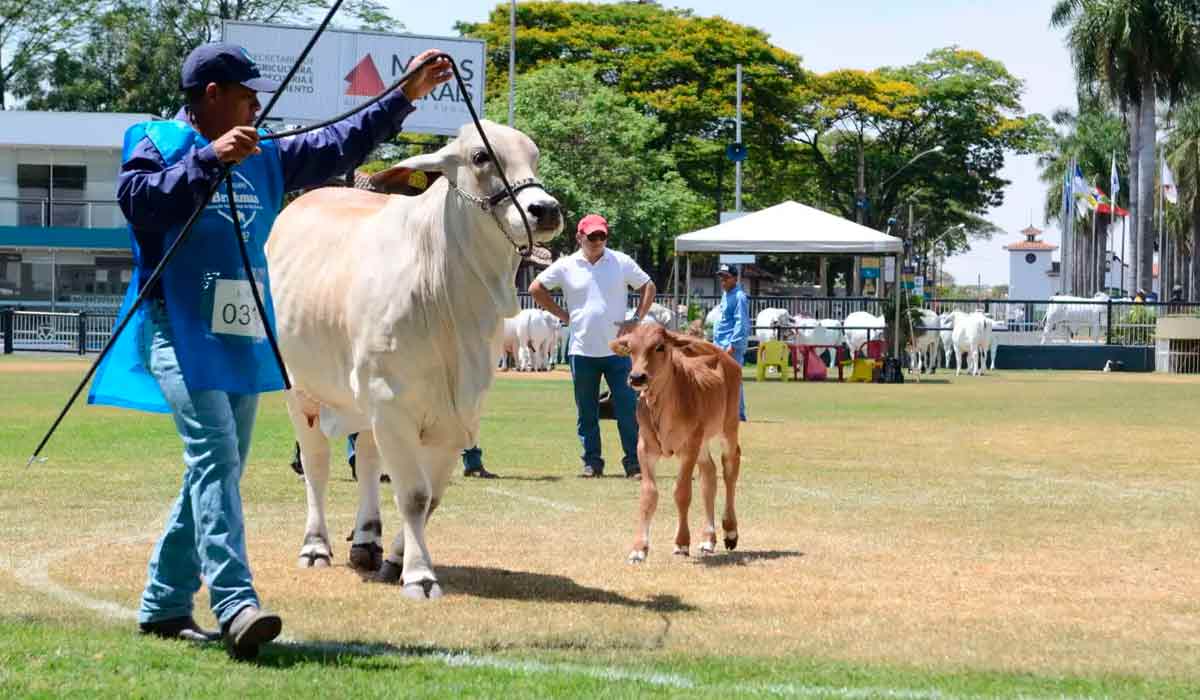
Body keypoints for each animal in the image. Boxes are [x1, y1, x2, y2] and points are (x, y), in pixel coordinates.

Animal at [267, 118, 561, 597]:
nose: (545, 209)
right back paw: (315, 547)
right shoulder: (391, 403)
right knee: (316, 464)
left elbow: (430, 498)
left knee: (368, 459)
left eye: (533, 156)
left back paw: (366, 541)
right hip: (302, 391)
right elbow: (413, 495)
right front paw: (420, 576)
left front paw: (397, 559)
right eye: (481, 156)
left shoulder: (458, 414)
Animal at [609, 324, 739, 564]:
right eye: (631, 348)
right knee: (709, 475)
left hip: (728, 427)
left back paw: (731, 532)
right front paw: (639, 549)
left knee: (730, 468)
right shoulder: (645, 448)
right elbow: (649, 494)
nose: (637, 377)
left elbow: (682, 492)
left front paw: (681, 543)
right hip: (703, 442)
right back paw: (708, 539)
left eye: (659, 346)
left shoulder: (688, 448)